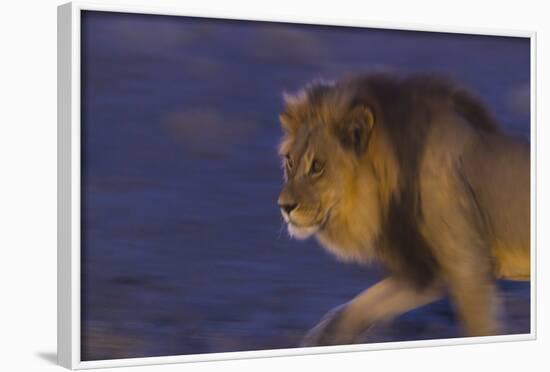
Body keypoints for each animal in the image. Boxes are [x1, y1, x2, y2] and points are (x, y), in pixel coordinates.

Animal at [278, 72, 532, 346]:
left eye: (317, 166)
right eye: (290, 161)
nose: (284, 206)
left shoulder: (468, 267)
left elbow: (481, 329)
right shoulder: (425, 268)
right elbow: (355, 308)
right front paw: (322, 338)